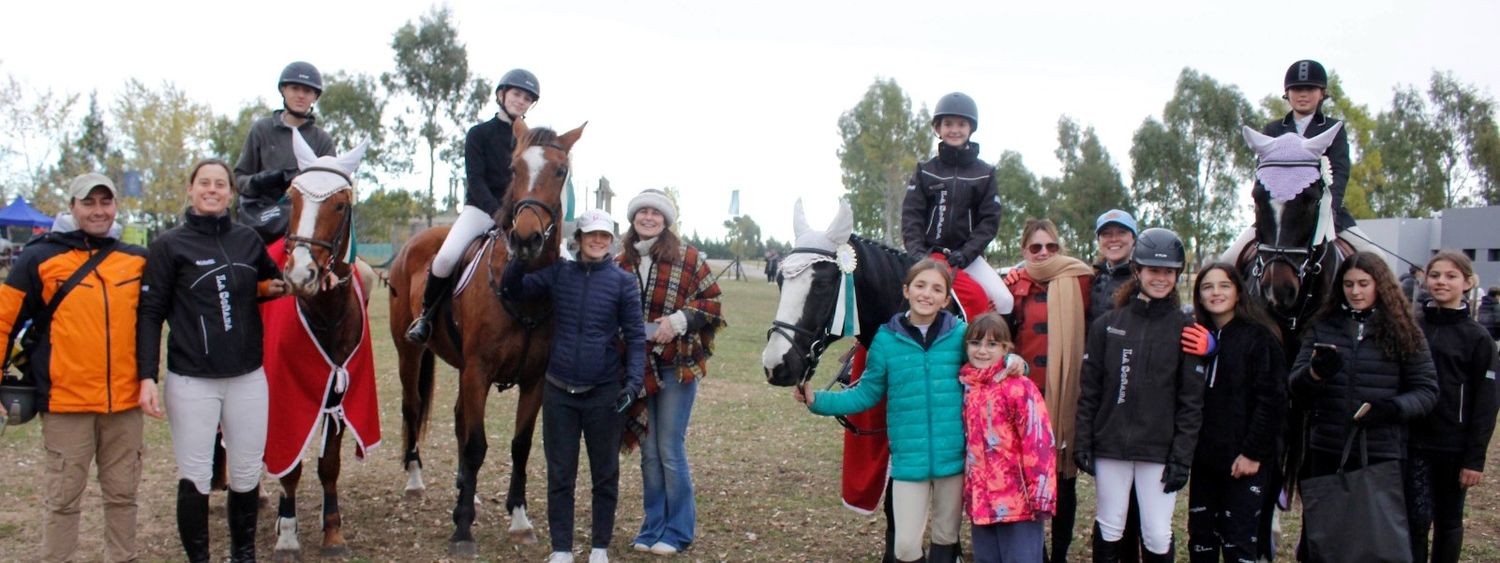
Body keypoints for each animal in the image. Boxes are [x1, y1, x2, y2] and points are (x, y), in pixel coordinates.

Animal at [264, 131, 381, 561]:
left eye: (341, 204)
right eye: (293, 198)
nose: (300, 275)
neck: (327, 316)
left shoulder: (337, 390)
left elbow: (328, 464)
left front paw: (332, 531)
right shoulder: (285, 399)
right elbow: (289, 466)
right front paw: (287, 534)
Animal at [387, 119, 585, 555]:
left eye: (561, 171)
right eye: (514, 169)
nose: (526, 239)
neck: (524, 286)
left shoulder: (533, 380)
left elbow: (520, 446)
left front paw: (520, 519)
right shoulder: (478, 371)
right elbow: (477, 444)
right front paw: (462, 528)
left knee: (459, 419)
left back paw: (467, 489)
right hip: (410, 353)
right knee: (413, 406)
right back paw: (415, 482)